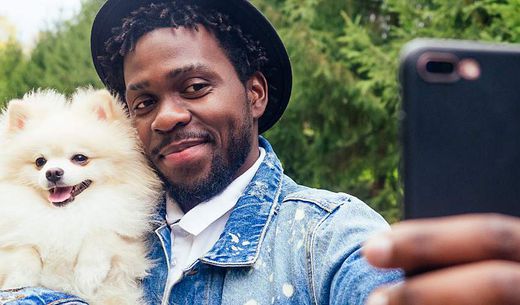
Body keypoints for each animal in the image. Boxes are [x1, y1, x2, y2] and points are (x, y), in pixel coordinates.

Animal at [0, 88, 160, 304]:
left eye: (80, 158)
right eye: (40, 162)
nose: (52, 173)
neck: (66, 213)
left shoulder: (130, 248)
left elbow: (102, 234)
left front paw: (88, 275)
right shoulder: (12, 240)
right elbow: (24, 252)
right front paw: (18, 281)